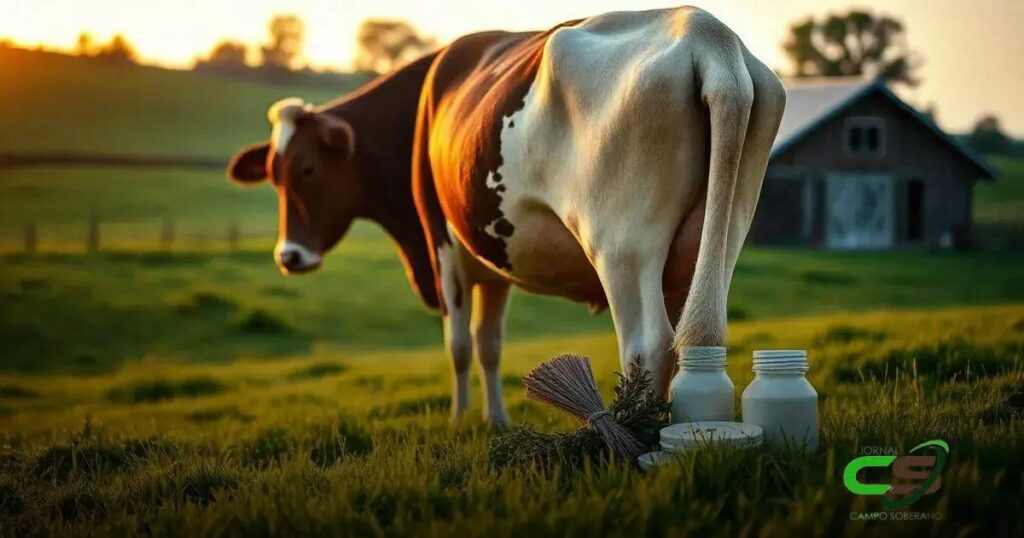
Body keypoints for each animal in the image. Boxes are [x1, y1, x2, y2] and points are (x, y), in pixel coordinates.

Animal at [226, 6, 785, 428]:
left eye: (307, 170)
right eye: (273, 174)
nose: (288, 256)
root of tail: (706, 33)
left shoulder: (443, 244)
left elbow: (457, 342)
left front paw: (458, 421)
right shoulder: (495, 255)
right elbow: (489, 342)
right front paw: (494, 421)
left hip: (621, 246)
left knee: (647, 346)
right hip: (719, 234)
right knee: (695, 336)